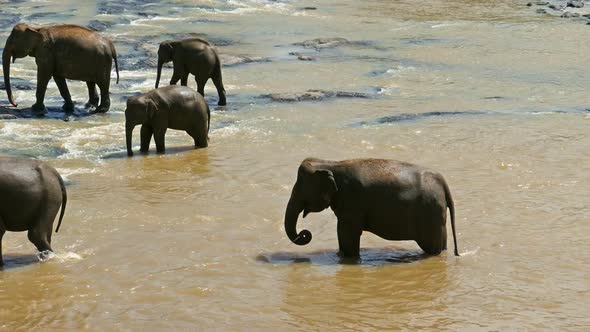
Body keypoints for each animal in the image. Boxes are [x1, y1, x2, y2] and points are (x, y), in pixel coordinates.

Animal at [284, 158, 460, 260]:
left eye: (299, 188)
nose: (304, 233)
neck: (329, 163)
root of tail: (442, 181)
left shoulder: (352, 201)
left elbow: (346, 233)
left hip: (430, 214)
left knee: (432, 247)